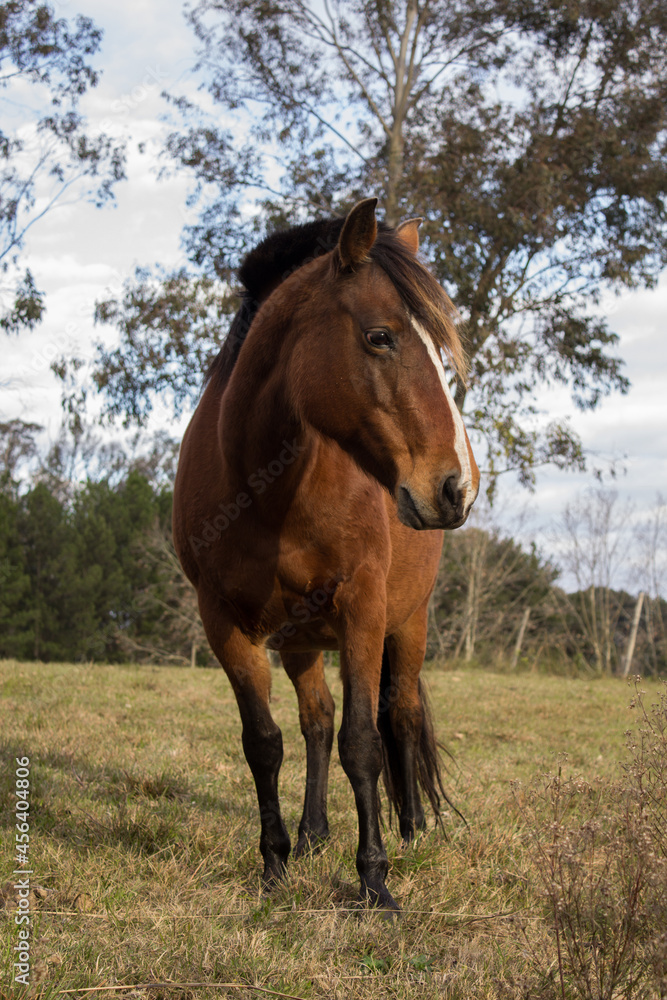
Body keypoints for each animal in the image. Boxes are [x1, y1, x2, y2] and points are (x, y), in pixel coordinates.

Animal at [173, 197, 480, 911]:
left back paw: (410, 832)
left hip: (407, 623)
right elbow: (265, 743)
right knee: (315, 720)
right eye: (380, 337)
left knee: (399, 715)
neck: (262, 482)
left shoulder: (363, 610)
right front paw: (274, 865)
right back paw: (313, 835)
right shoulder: (224, 623)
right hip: (300, 638)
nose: (456, 488)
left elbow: (363, 743)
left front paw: (375, 882)